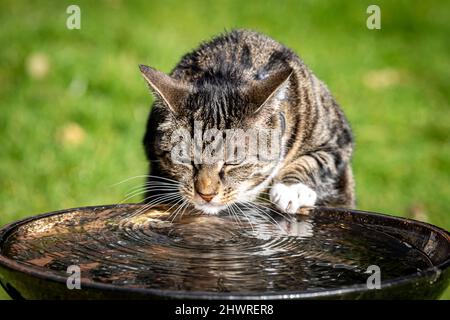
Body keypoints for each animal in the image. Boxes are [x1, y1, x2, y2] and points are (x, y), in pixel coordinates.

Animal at [139, 29, 354, 215]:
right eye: (184, 159)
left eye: (234, 161)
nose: (206, 194)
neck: (229, 69)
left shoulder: (338, 139)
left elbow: (314, 161)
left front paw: (291, 189)